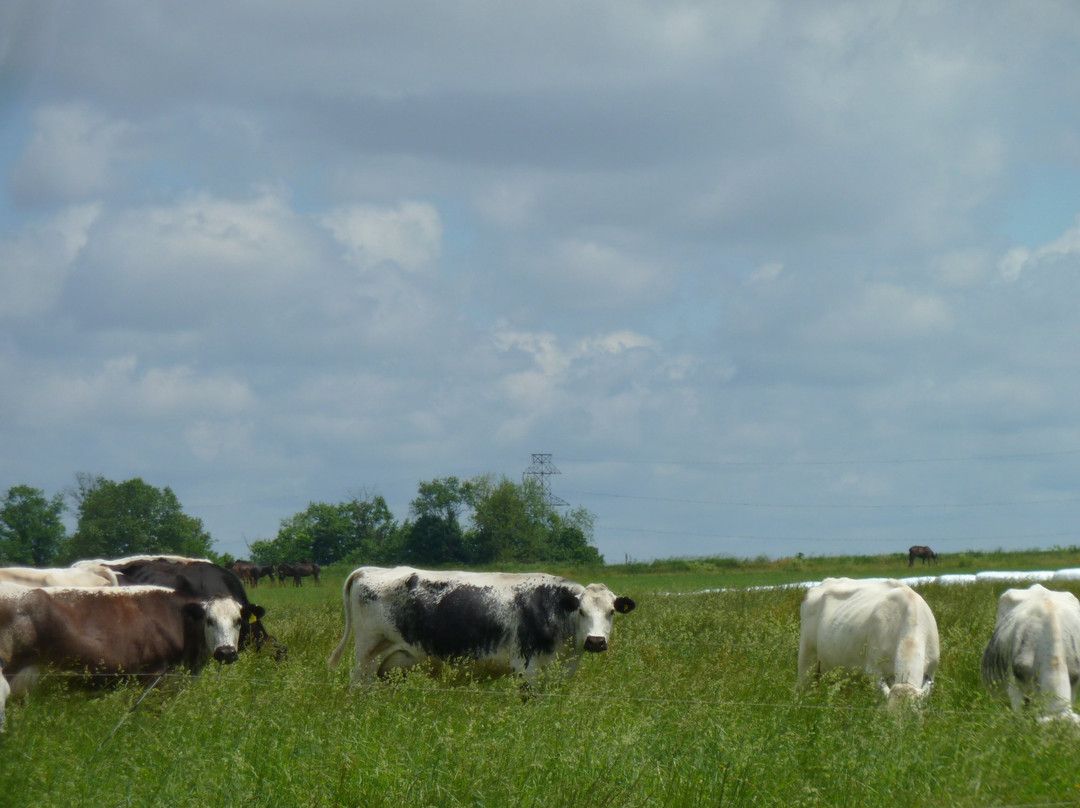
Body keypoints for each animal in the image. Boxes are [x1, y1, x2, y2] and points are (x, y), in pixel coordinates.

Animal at [324, 566, 635, 687]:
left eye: (611, 612)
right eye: (581, 611)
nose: (595, 641)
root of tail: (372, 569)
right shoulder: (526, 668)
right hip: (367, 654)